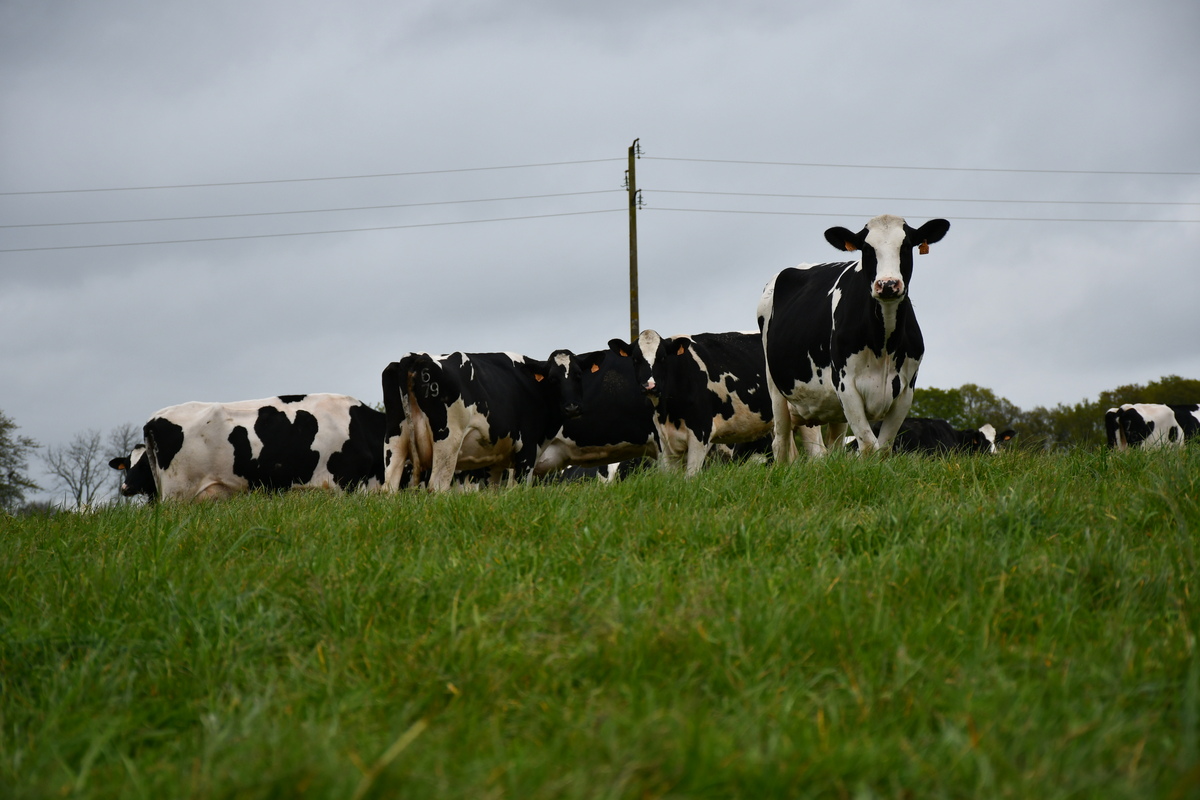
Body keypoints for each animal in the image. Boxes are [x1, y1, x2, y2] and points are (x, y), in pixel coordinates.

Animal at [376, 352, 578, 494]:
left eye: (578, 375)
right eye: (553, 379)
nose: (572, 407)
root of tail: (416, 356)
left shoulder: (496, 459)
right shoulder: (527, 450)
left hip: (395, 439)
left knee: (389, 488)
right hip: (447, 441)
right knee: (437, 486)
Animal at [604, 326, 772, 472]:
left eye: (662, 358)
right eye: (635, 359)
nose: (649, 386)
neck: (668, 413)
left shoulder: (700, 434)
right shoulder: (665, 442)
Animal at [758, 215, 945, 460]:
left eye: (905, 246)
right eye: (866, 248)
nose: (887, 284)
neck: (884, 344)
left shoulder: (906, 390)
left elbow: (883, 448)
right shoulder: (845, 384)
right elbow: (869, 446)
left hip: (832, 408)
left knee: (833, 446)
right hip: (776, 388)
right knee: (781, 441)